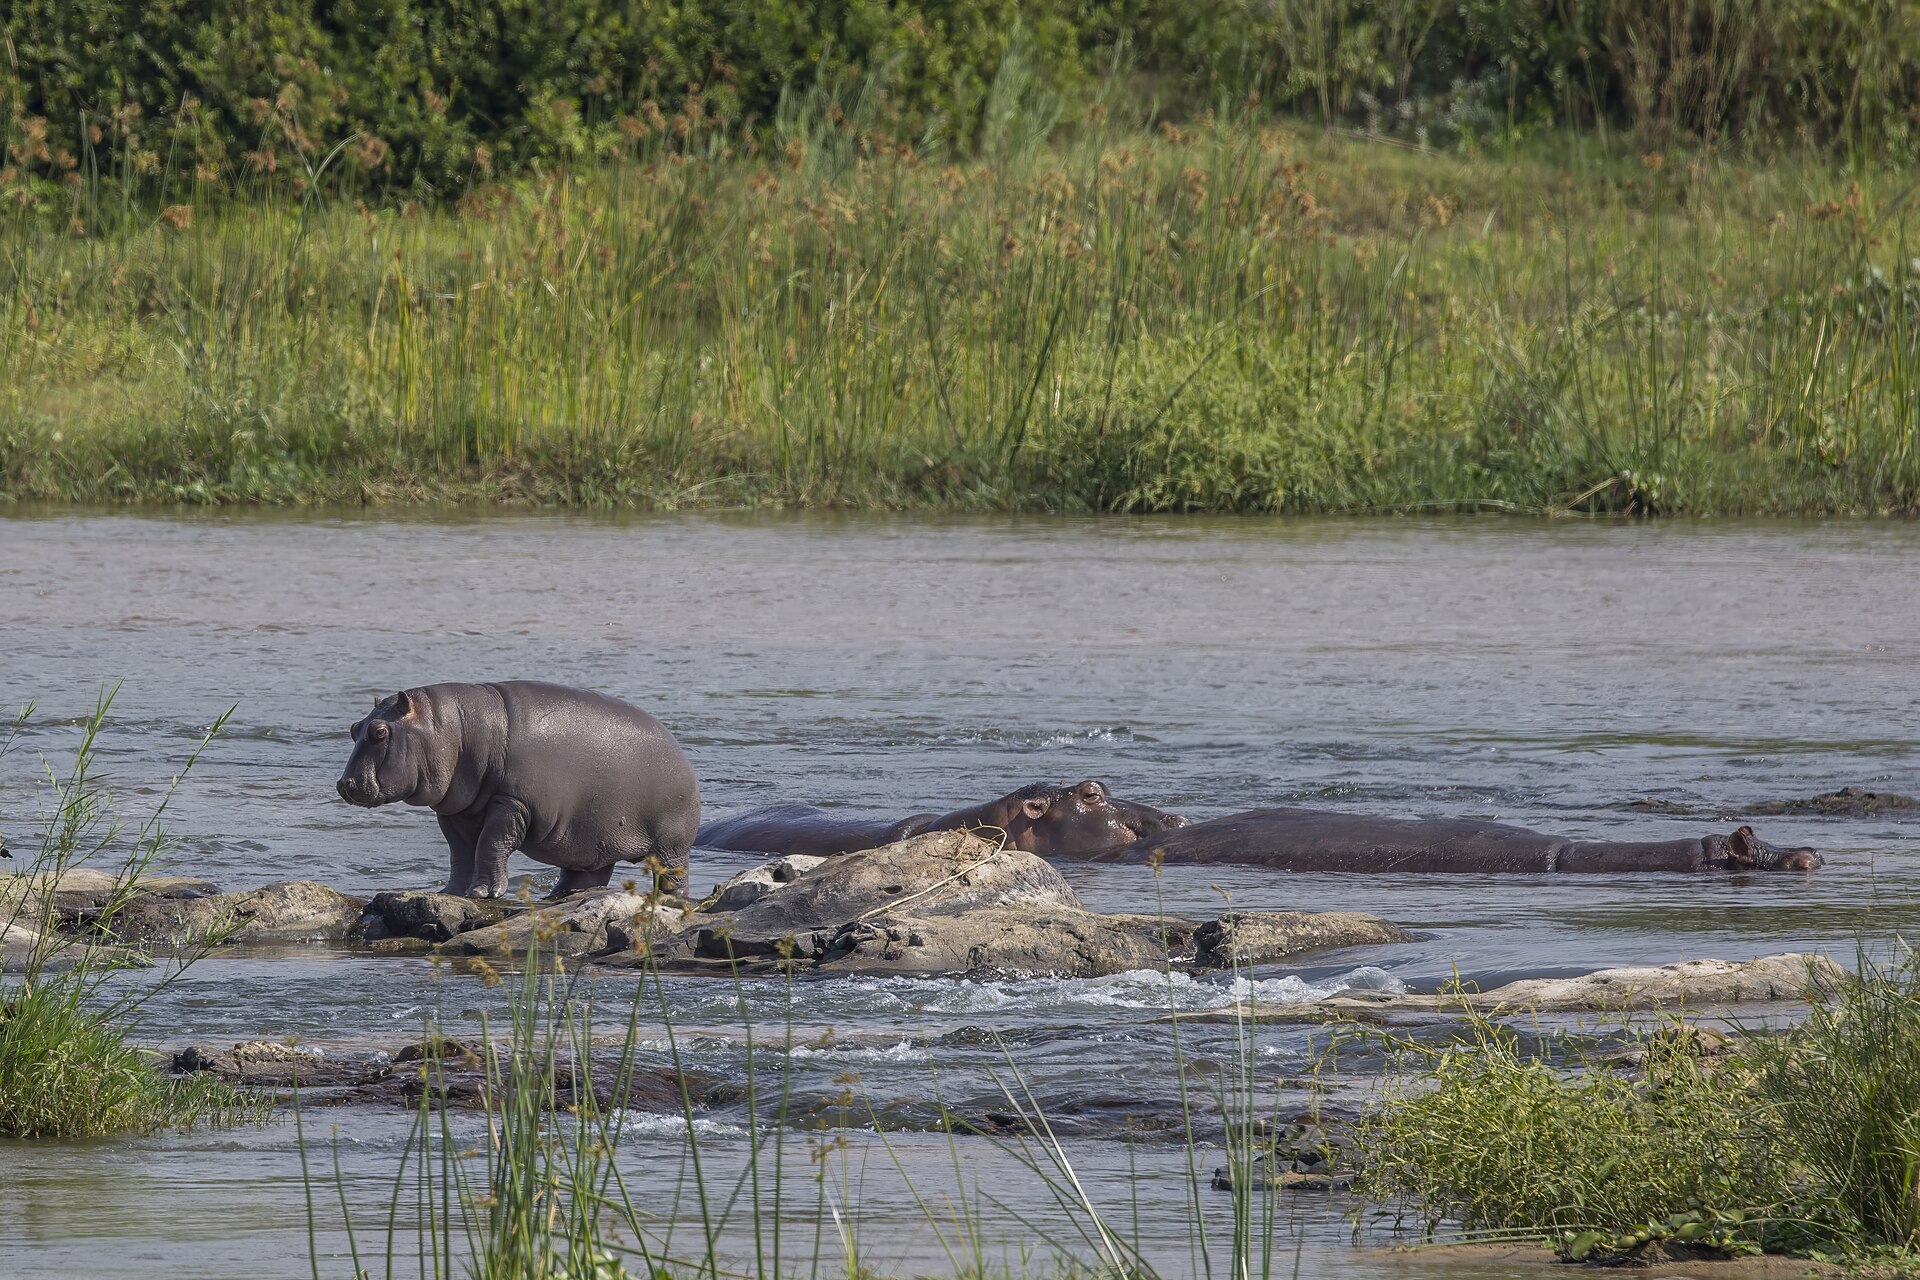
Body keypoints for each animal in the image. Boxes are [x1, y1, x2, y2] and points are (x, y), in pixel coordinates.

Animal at [336, 681, 700, 897]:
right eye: (354, 728)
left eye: (380, 732)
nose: (344, 784)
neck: (452, 729)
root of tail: (679, 751)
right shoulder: (455, 810)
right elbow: (460, 852)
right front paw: (450, 892)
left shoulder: (512, 802)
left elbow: (491, 843)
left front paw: (483, 893)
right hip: (593, 840)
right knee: (587, 874)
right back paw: (559, 897)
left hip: (670, 845)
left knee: (674, 875)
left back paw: (669, 900)